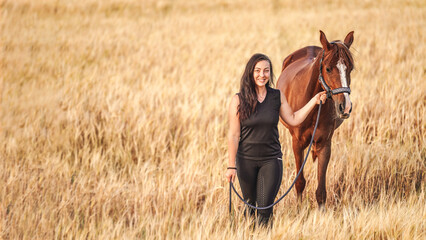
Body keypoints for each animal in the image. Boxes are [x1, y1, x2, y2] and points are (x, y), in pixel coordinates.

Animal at [276, 30, 352, 206]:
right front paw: (299, 209)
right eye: (328, 68)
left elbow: (321, 191)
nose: (345, 107)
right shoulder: (297, 143)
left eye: (351, 68)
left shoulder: (325, 144)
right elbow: (299, 182)